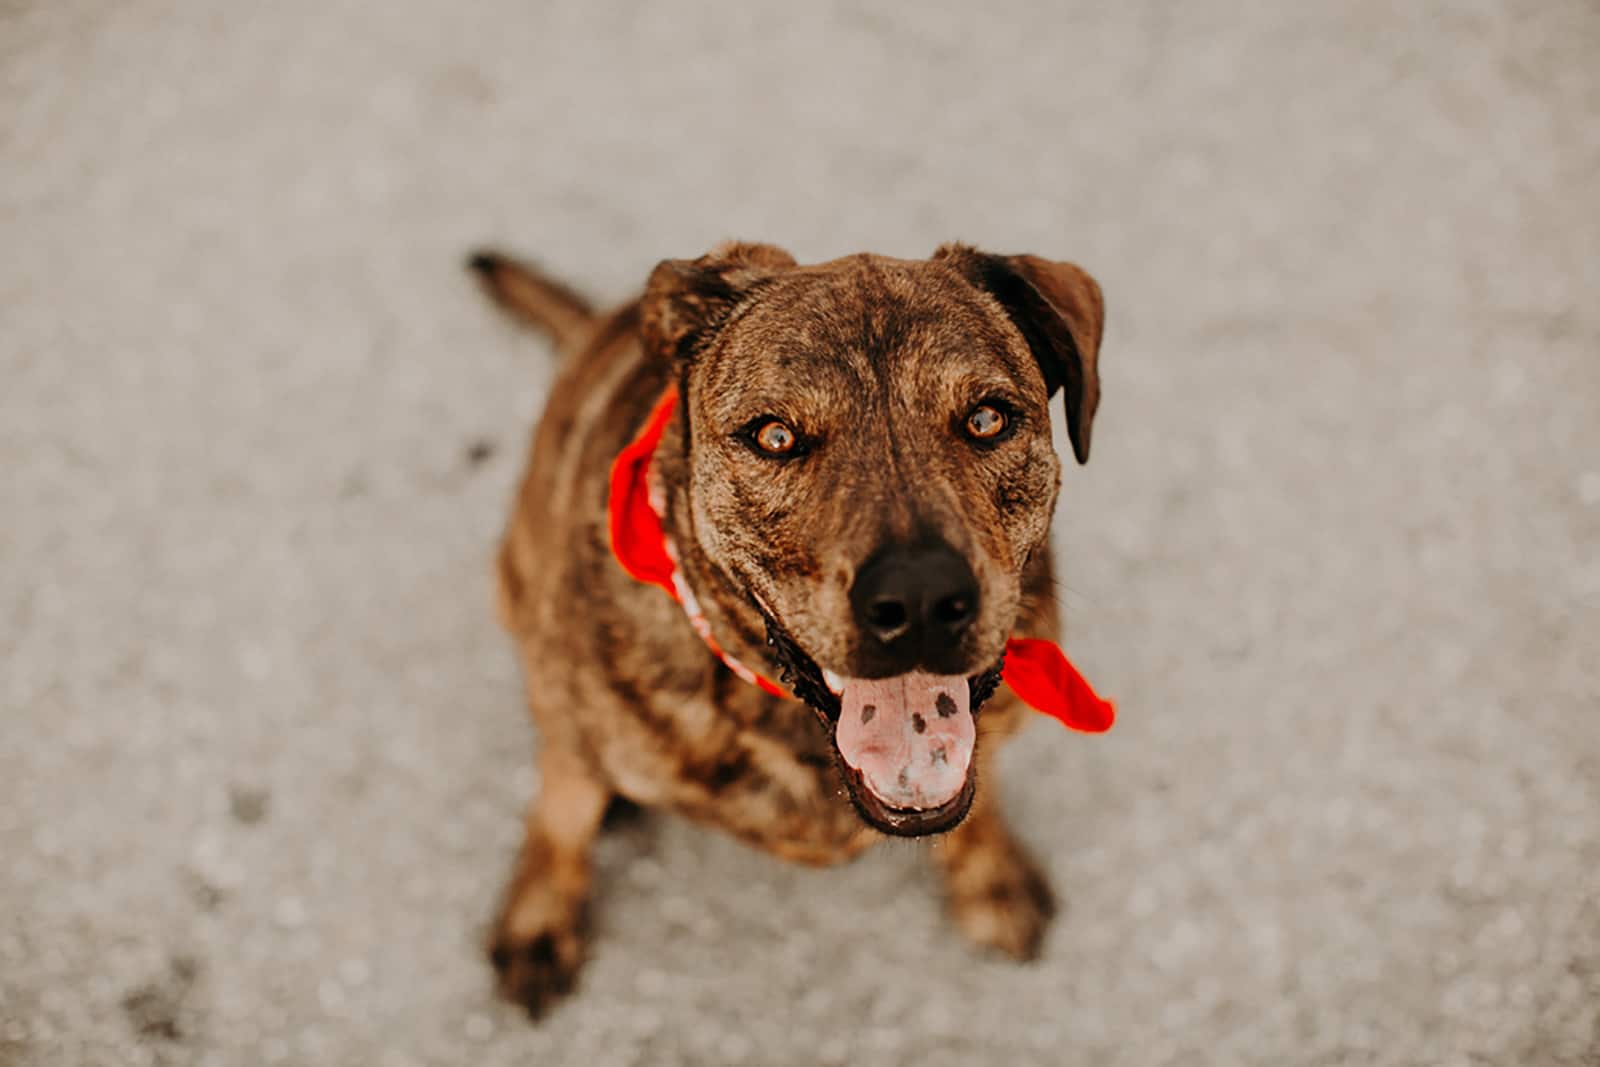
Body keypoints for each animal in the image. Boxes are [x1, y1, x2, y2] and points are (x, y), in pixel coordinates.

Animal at [467, 241, 1107, 1017]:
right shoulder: (570, 732)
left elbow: (980, 798)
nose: (921, 596)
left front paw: (991, 876)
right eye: (774, 436)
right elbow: (559, 816)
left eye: (987, 419)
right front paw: (539, 918)